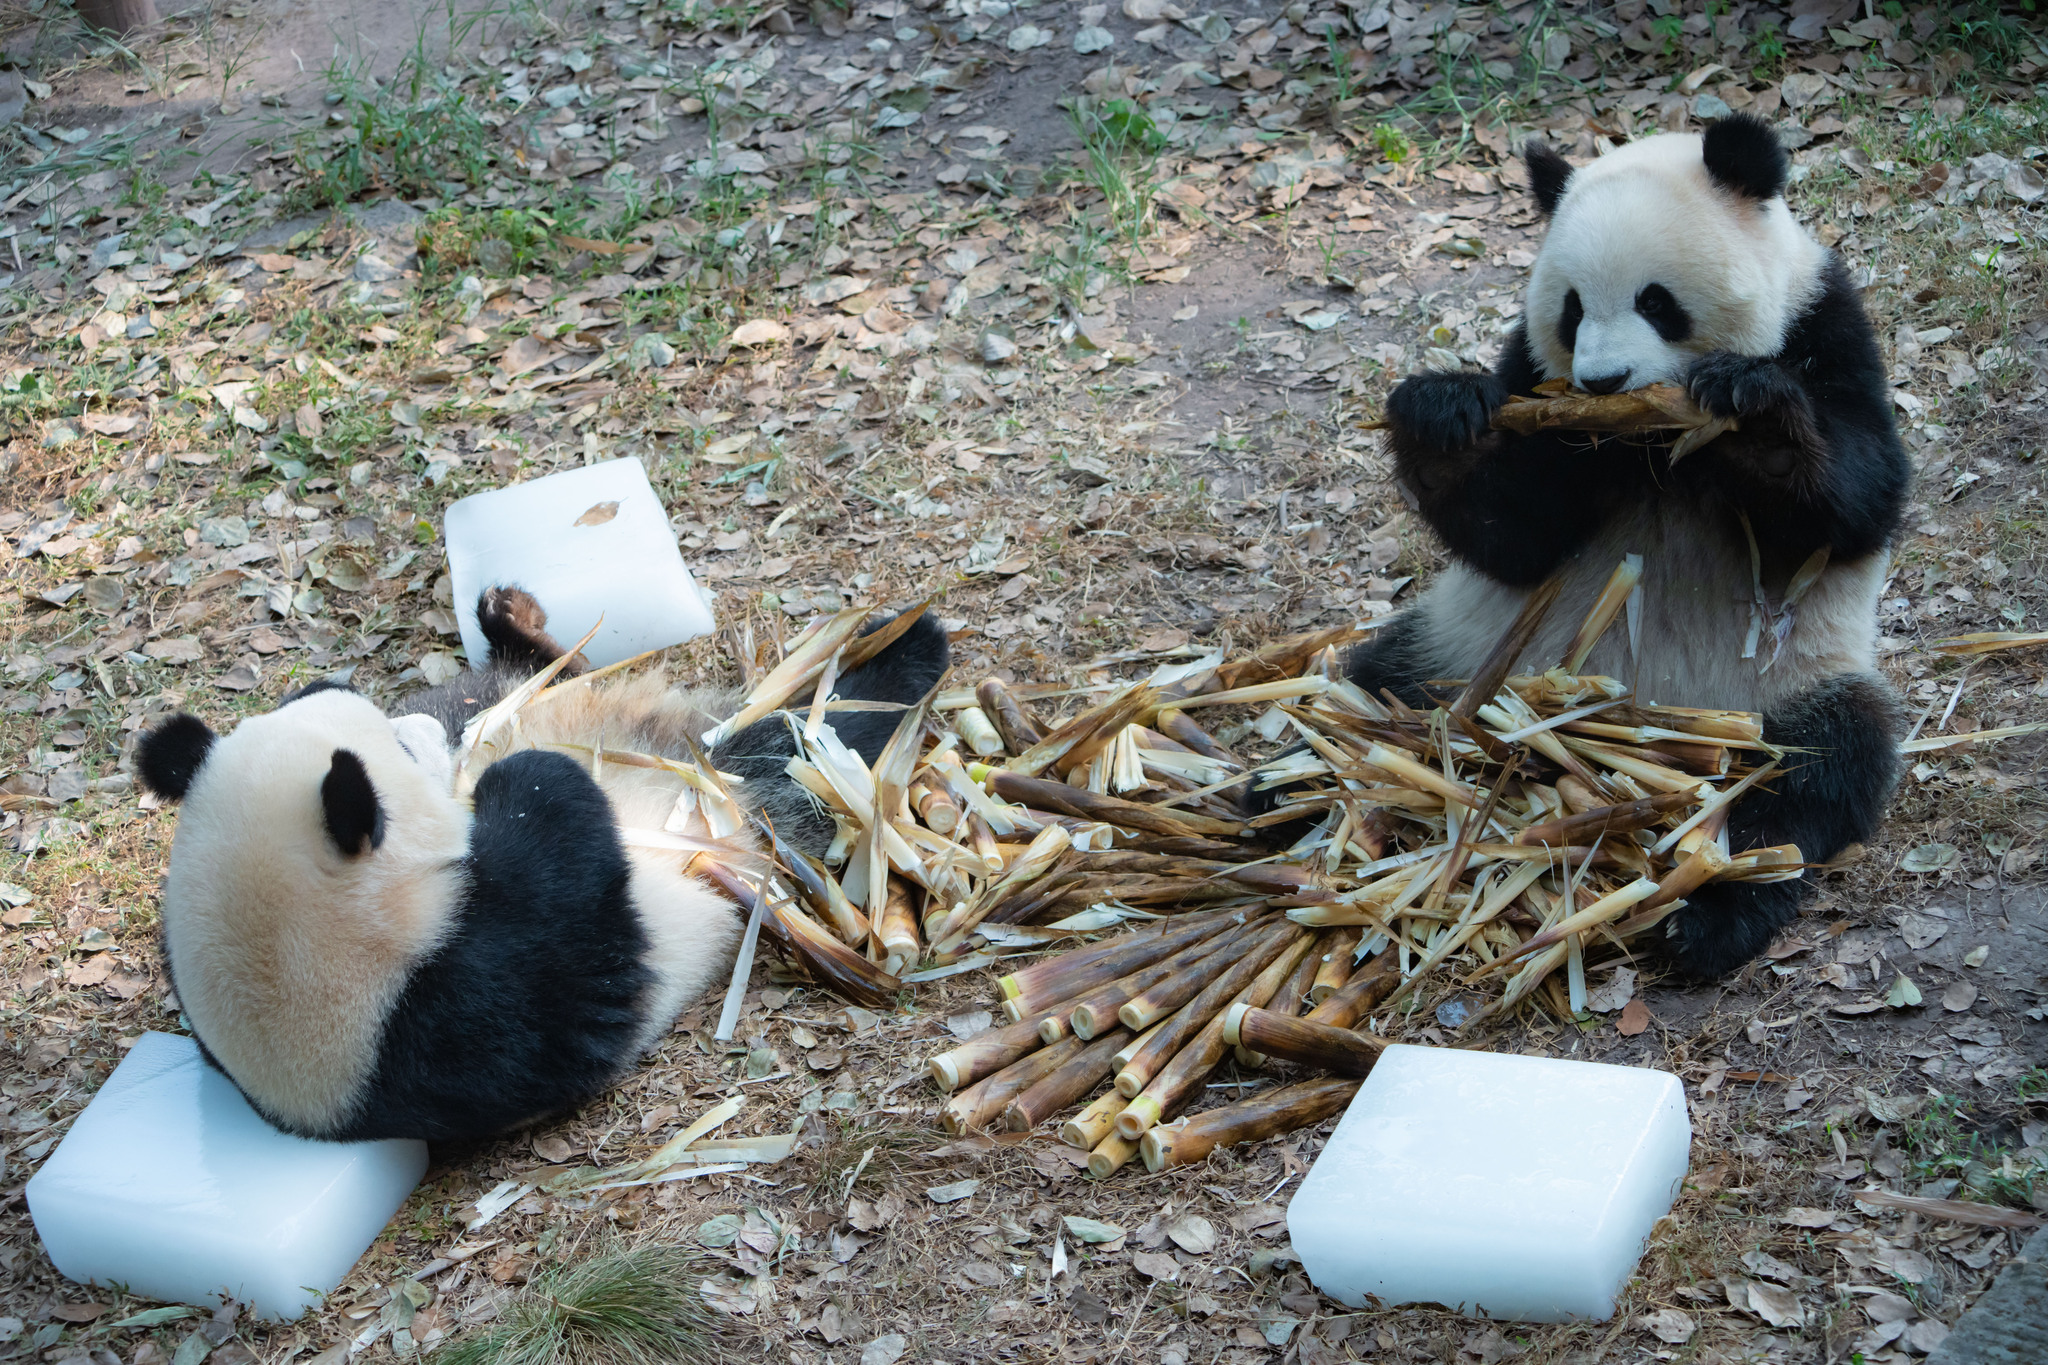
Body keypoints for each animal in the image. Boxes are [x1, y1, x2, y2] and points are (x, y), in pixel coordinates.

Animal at [132, 589, 946, 1146]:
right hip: (747, 803)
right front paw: (534, 781)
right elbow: (563, 931)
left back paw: (512, 620)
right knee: (804, 747)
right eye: (399, 754)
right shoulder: (456, 1013)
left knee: (532, 677)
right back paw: (903, 655)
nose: (428, 731)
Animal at [1351, 112, 1908, 978]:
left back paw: (1712, 915)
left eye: (1657, 301)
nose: (1603, 382)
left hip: (1773, 692)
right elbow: (1516, 534)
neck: (1646, 442)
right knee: (1375, 690)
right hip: (1469, 660)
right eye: (1572, 310)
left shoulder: (1825, 327)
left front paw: (1754, 419)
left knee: (1818, 773)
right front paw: (1442, 416)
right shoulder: (1537, 379)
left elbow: (1855, 504)